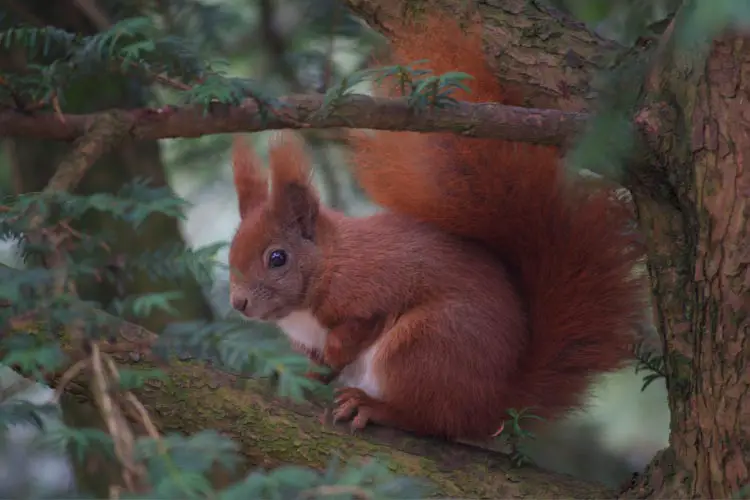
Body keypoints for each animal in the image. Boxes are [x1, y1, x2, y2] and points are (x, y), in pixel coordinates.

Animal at [229, 13, 648, 440]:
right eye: (231, 252)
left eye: (277, 258)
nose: (238, 303)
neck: (330, 262)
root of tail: (491, 405)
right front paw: (299, 378)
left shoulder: (368, 292)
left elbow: (354, 332)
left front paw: (331, 361)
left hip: (424, 347)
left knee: (429, 418)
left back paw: (375, 407)